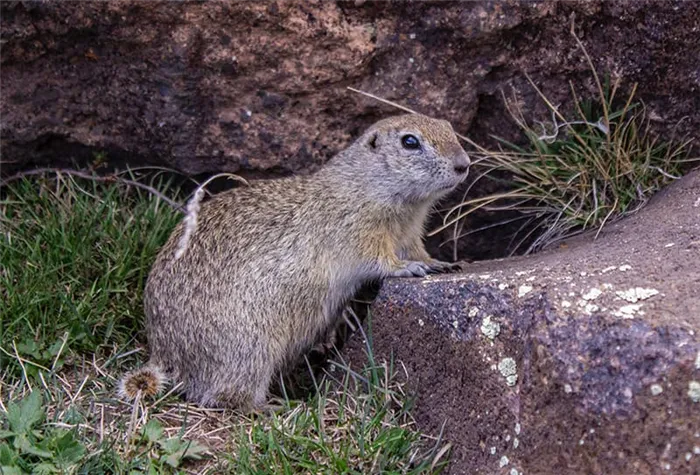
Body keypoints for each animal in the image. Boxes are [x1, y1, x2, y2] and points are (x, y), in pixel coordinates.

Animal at [121, 113, 470, 410]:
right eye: (410, 141)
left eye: (449, 127)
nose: (463, 164)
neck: (367, 185)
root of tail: (164, 356)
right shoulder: (359, 231)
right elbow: (380, 259)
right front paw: (408, 268)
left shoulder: (410, 235)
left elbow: (418, 250)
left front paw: (442, 264)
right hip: (252, 349)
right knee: (224, 398)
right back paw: (273, 407)